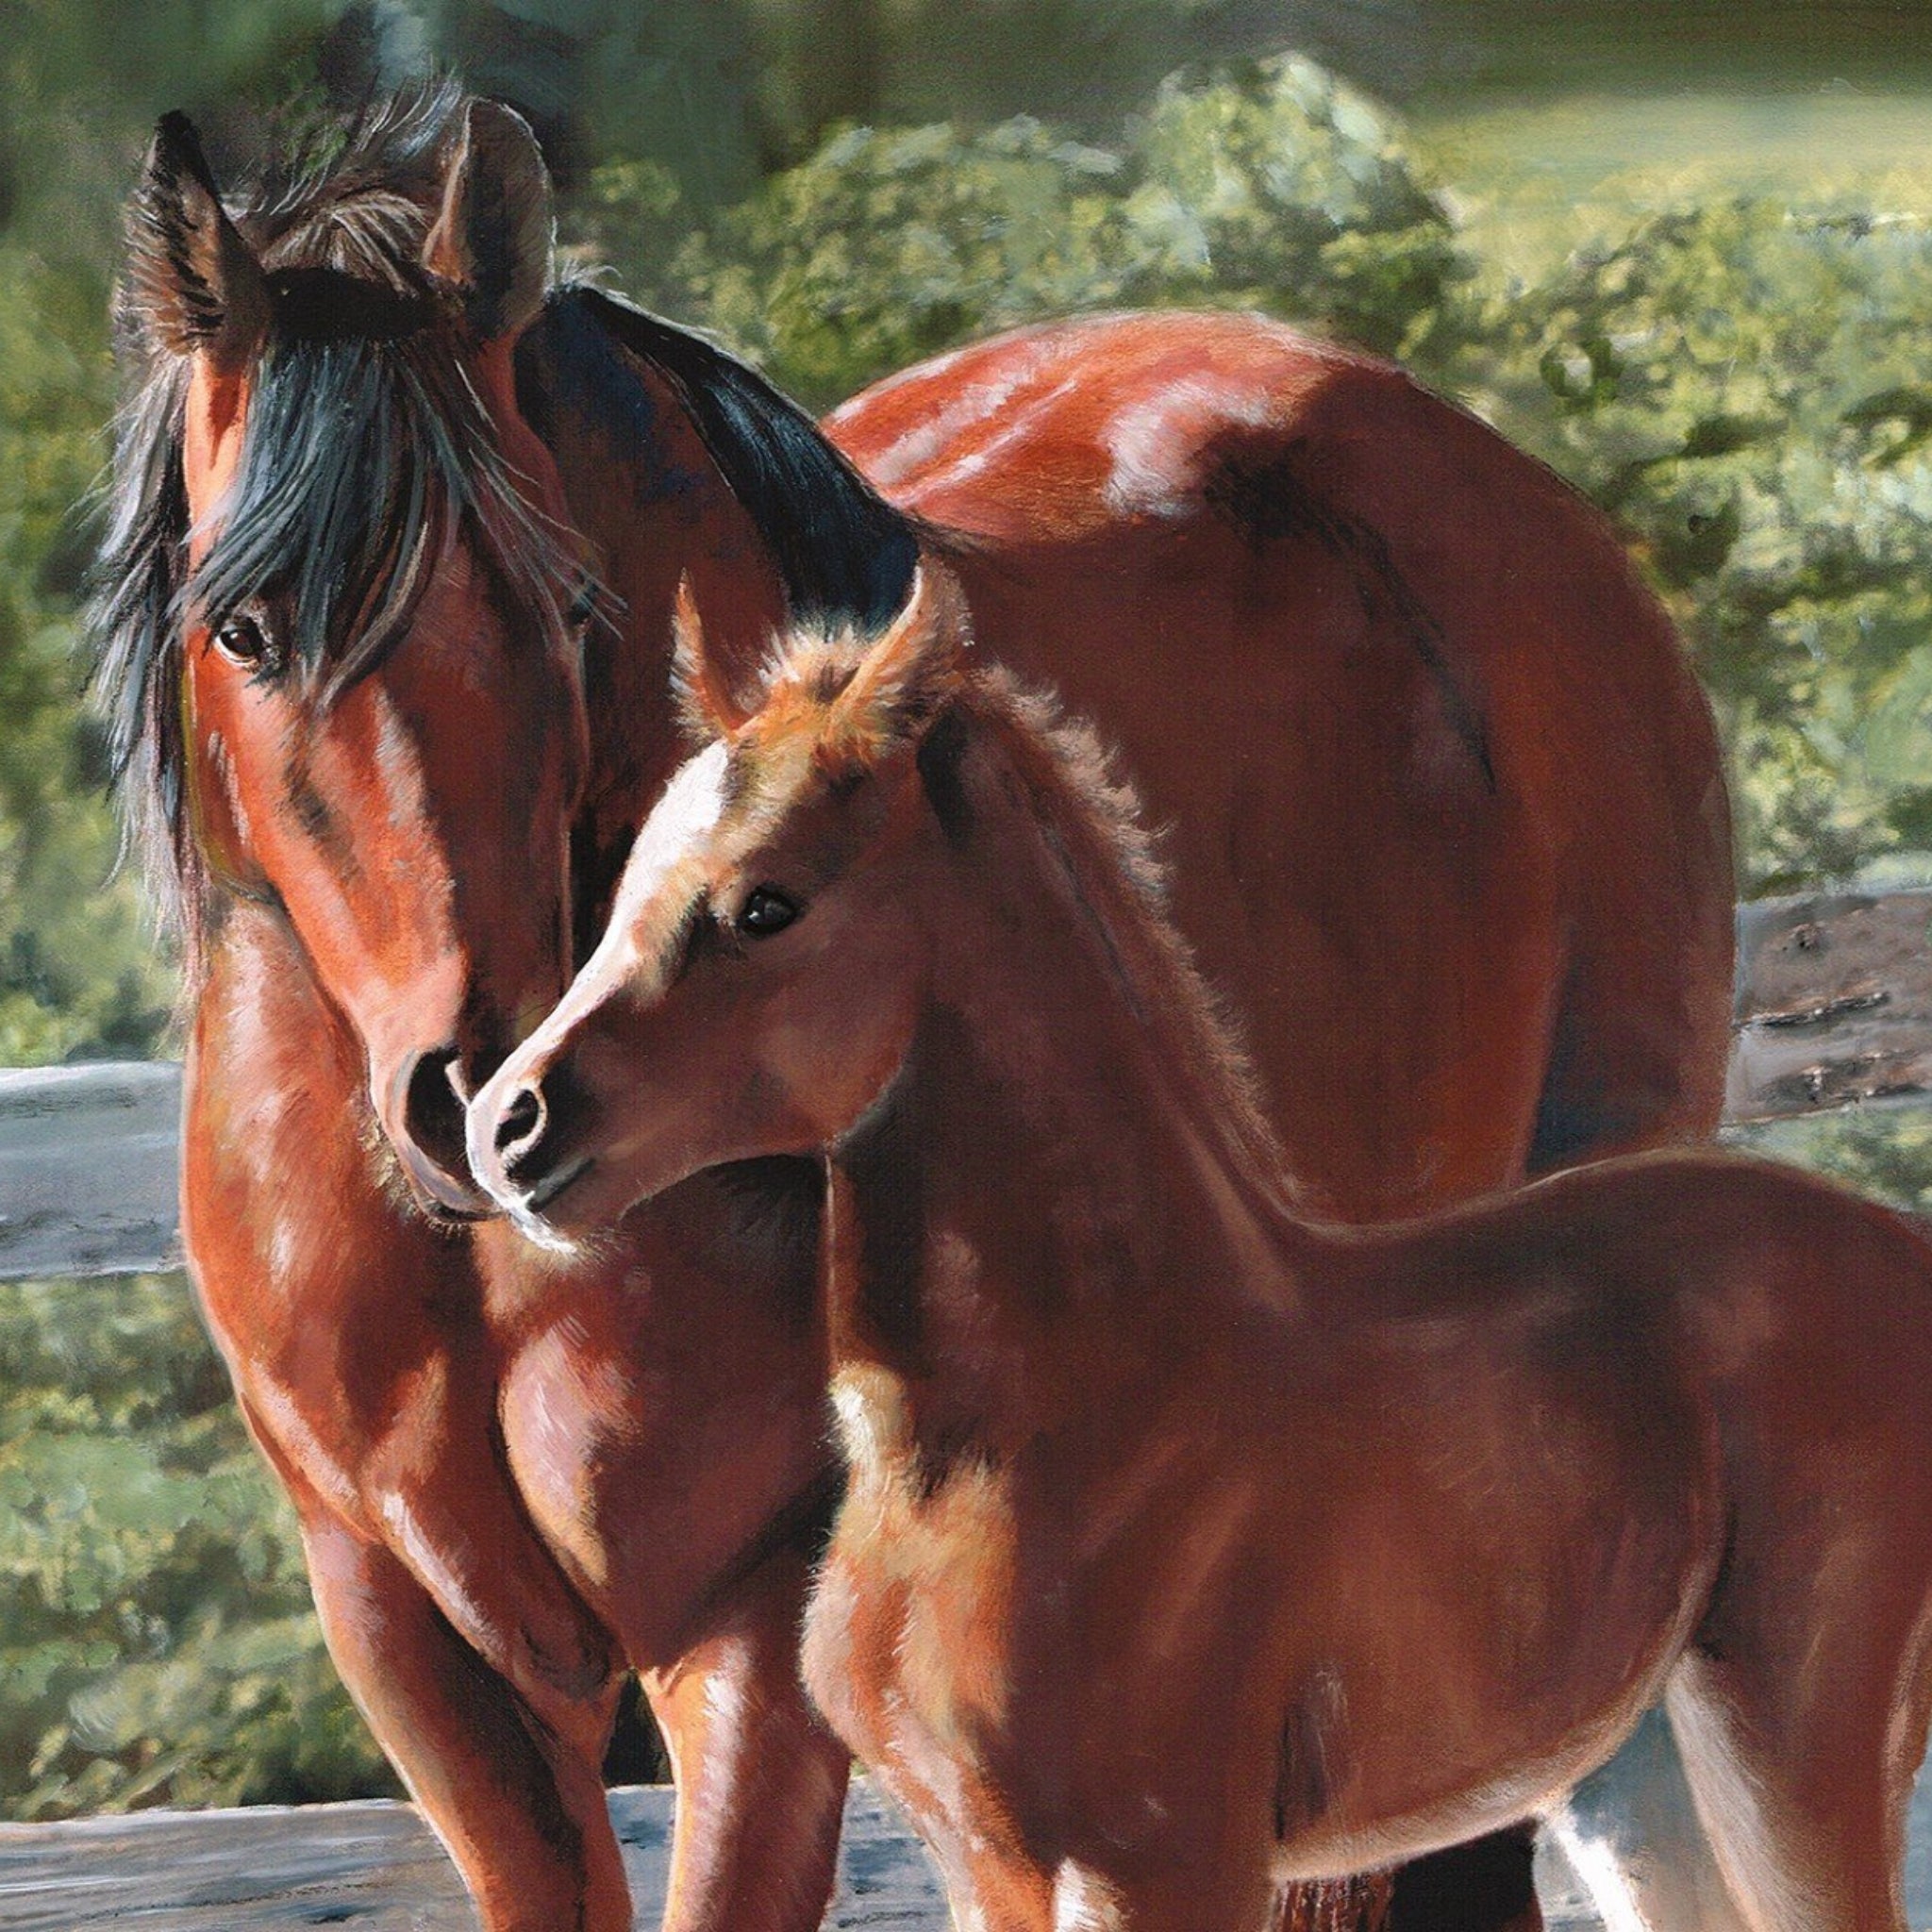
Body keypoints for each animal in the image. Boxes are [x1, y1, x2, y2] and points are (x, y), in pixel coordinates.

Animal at [470, 567, 1932, 1932]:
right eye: (627, 882)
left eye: (768, 906)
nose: (504, 1125)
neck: (1055, 1428)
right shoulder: (980, 1864)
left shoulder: (1161, 1862)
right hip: (1635, 1768)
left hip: (1786, 1742)